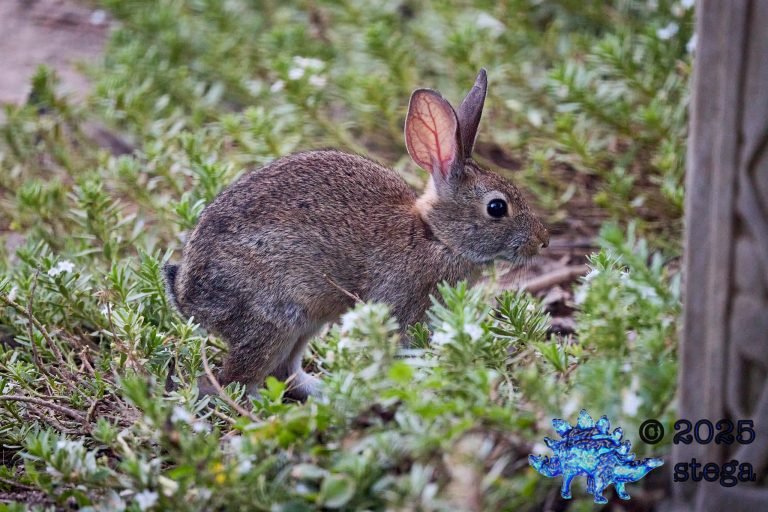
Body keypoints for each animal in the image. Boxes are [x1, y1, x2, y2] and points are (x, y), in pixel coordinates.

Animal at [164, 69, 549, 401]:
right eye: (497, 208)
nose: (542, 241)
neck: (435, 237)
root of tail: (186, 296)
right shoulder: (399, 307)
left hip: (305, 324)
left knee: (283, 373)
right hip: (271, 320)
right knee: (233, 382)